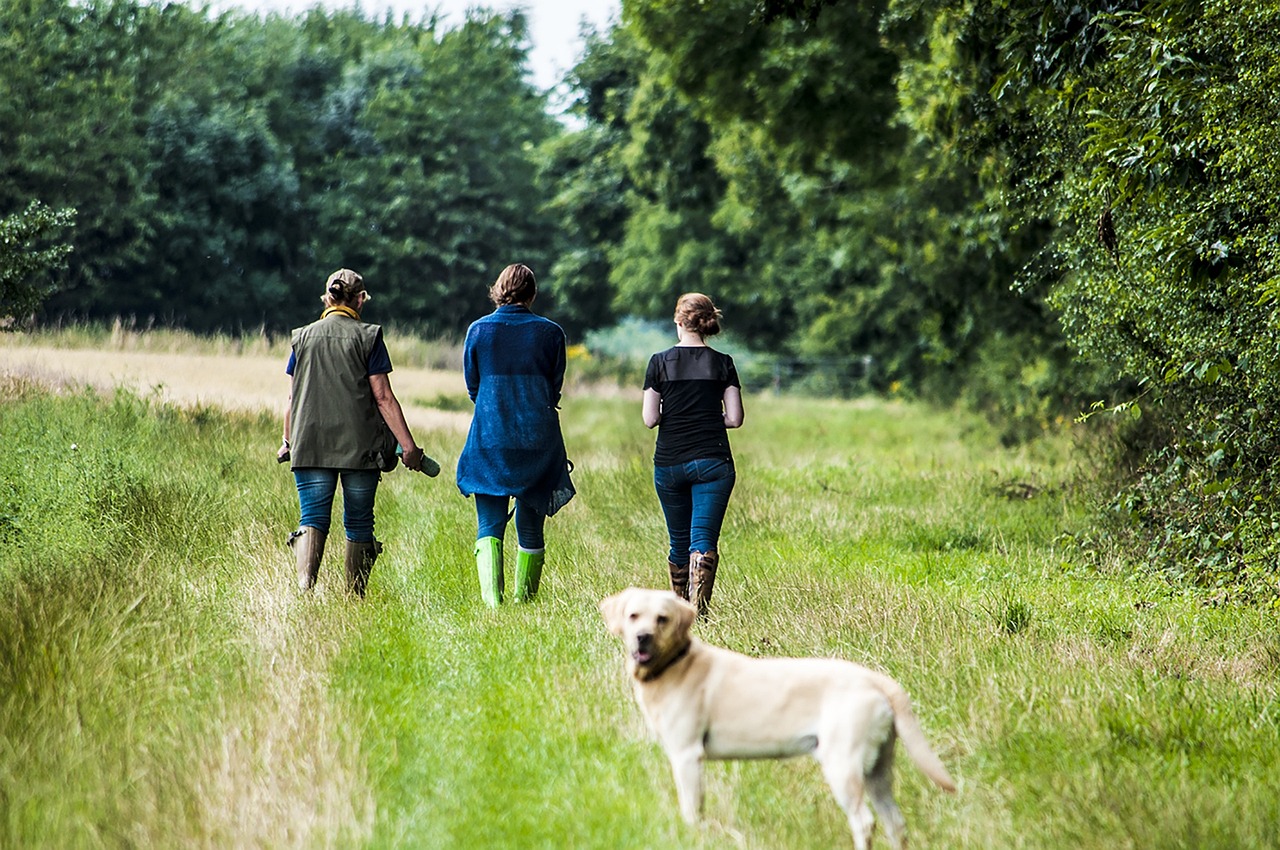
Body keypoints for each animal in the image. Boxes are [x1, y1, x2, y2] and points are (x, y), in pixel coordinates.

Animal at [604, 588, 957, 844]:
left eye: (662, 618)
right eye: (633, 615)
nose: (643, 637)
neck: (676, 663)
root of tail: (877, 680)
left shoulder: (687, 756)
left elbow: (692, 812)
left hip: (843, 766)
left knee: (864, 822)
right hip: (878, 770)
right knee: (895, 823)